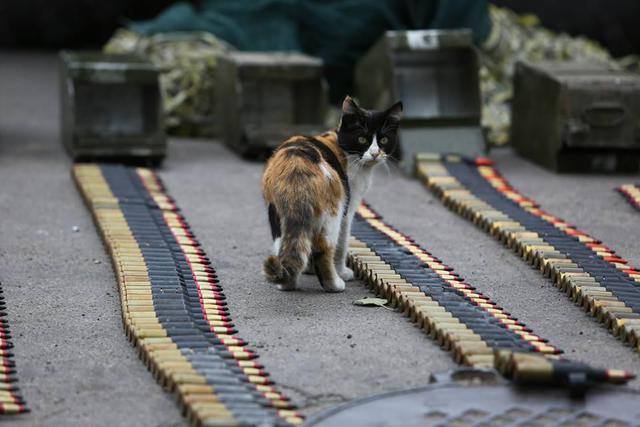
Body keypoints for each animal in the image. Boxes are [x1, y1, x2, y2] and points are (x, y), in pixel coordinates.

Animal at [260, 95, 400, 292]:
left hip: (277, 215)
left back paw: (287, 283)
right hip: (333, 213)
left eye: (384, 141)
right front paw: (342, 271)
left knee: (286, 245)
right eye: (362, 139)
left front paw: (308, 269)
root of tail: (297, 167)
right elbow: (342, 245)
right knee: (324, 250)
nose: (374, 153)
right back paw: (334, 284)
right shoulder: (348, 210)